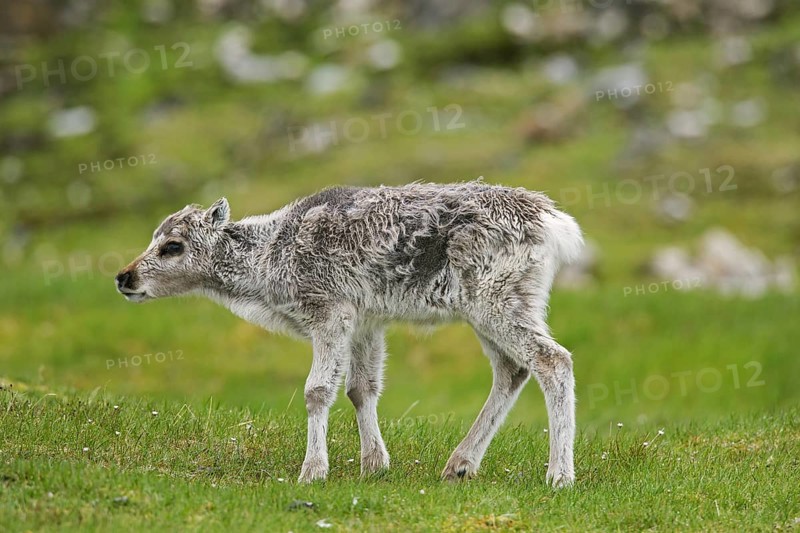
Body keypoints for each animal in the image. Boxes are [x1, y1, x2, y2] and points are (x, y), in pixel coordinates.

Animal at [115, 181, 583, 488]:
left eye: (172, 246)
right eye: (153, 236)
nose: (124, 277)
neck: (270, 258)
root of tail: (554, 222)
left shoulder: (330, 312)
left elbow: (317, 389)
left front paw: (312, 471)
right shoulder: (367, 321)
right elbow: (362, 388)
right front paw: (374, 464)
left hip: (496, 300)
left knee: (552, 360)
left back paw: (559, 475)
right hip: (492, 308)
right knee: (512, 369)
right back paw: (460, 464)